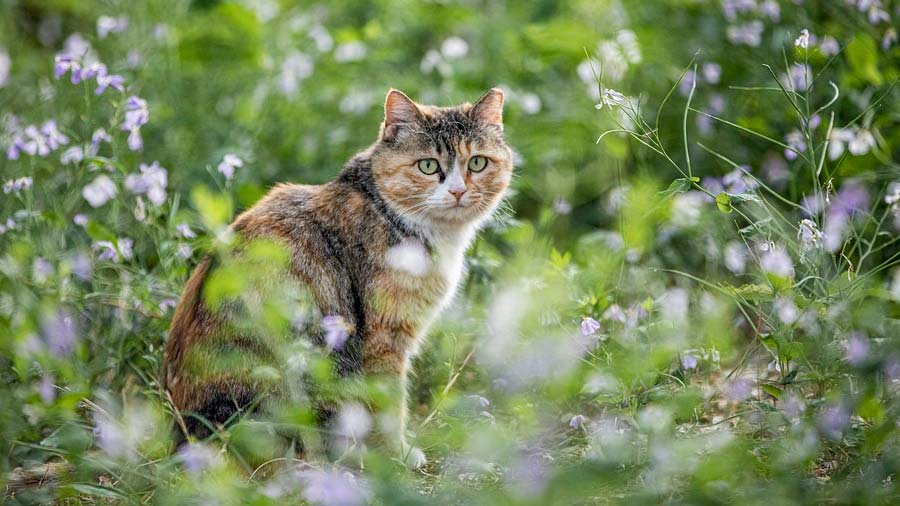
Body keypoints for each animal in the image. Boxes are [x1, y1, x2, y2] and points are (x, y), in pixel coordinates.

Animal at [162, 89, 512, 468]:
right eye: (428, 165)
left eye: (477, 163)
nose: (458, 192)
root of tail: (186, 439)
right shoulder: (384, 338)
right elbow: (388, 405)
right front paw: (396, 456)